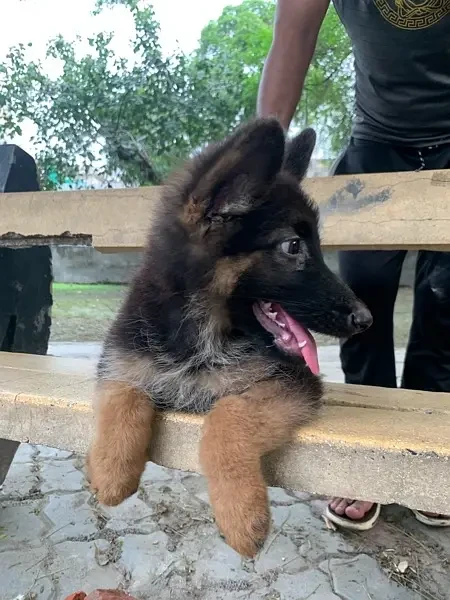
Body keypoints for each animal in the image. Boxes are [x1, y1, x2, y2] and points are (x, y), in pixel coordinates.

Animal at [88, 117, 372, 556]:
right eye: (293, 246)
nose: (366, 319)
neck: (200, 334)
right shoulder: (121, 360)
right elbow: (124, 396)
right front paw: (111, 472)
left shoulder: (294, 382)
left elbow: (229, 417)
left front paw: (241, 514)